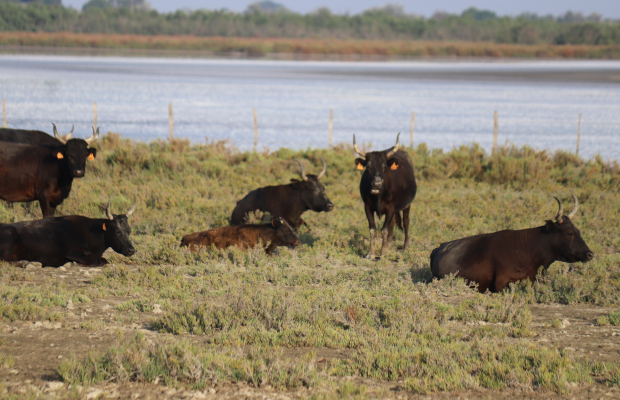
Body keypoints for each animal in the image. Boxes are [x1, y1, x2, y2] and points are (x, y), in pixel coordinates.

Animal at [0, 198, 136, 268]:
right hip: (9, 237)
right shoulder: (72, 253)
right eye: (117, 232)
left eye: (129, 231)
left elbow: (104, 261)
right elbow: (94, 262)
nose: (131, 250)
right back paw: (27, 263)